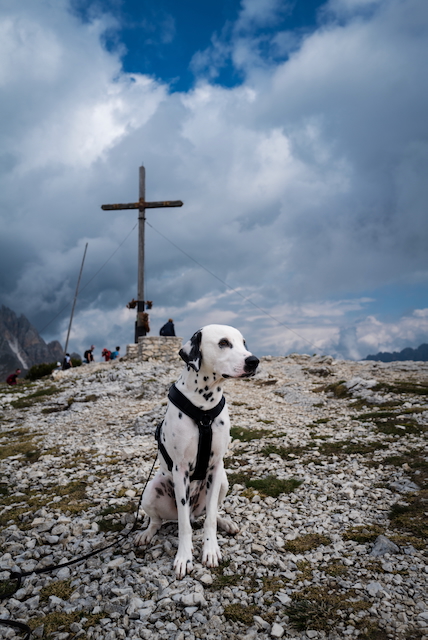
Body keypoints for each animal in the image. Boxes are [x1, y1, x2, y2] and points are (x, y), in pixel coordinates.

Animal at [135, 324, 259, 579]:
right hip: (151, 490)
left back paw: (226, 523)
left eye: (244, 343)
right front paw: (184, 557)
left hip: (223, 481)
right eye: (223, 343)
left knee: (210, 513)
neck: (204, 409)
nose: (254, 361)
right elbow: (184, 525)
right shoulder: (180, 470)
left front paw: (210, 550)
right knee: (158, 520)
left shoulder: (215, 467)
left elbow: (210, 518)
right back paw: (147, 533)